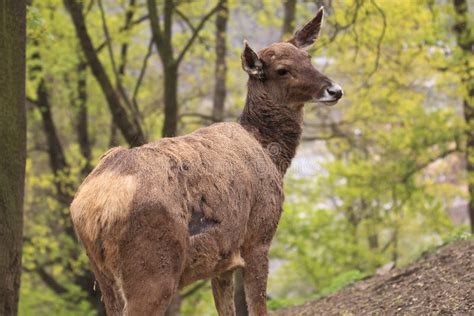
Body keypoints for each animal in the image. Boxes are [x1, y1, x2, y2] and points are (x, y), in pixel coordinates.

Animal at [70, 8, 342, 316]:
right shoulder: (258, 236)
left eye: (308, 58)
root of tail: (92, 207)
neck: (270, 153)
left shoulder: (223, 258)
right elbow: (258, 306)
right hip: (152, 268)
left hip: (103, 276)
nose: (335, 90)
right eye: (282, 69)